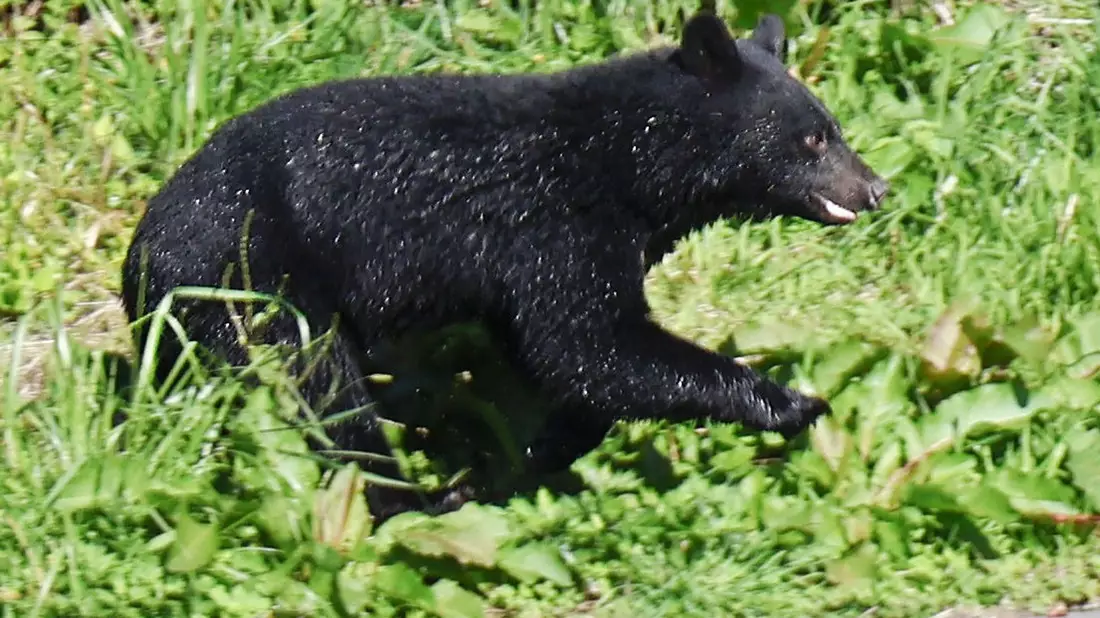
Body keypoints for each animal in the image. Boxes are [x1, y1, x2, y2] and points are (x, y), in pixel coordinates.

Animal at [120, 4, 889, 520]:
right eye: (814, 138)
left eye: (834, 128)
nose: (876, 187)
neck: (629, 161)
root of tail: (139, 261)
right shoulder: (556, 225)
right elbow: (589, 345)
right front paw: (793, 402)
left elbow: (558, 362)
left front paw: (529, 457)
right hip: (250, 279)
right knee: (321, 385)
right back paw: (414, 499)